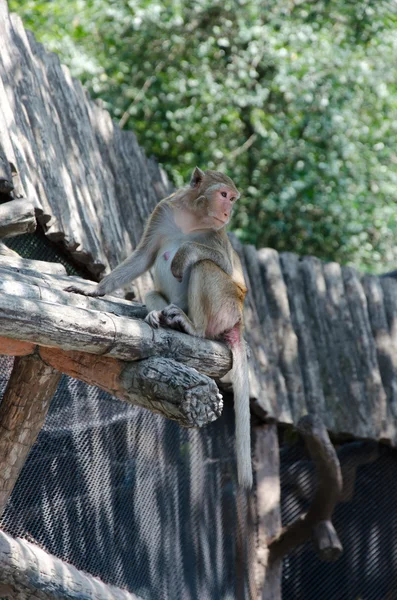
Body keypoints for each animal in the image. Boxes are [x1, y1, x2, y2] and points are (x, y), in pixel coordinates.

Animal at [64, 168, 251, 488]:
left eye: (232, 198)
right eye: (224, 195)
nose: (228, 212)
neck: (193, 217)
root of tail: (238, 322)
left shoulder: (217, 235)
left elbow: (223, 265)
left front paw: (185, 252)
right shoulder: (163, 211)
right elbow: (143, 257)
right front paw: (96, 289)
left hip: (229, 306)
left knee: (205, 267)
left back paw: (192, 327)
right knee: (154, 290)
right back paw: (159, 317)